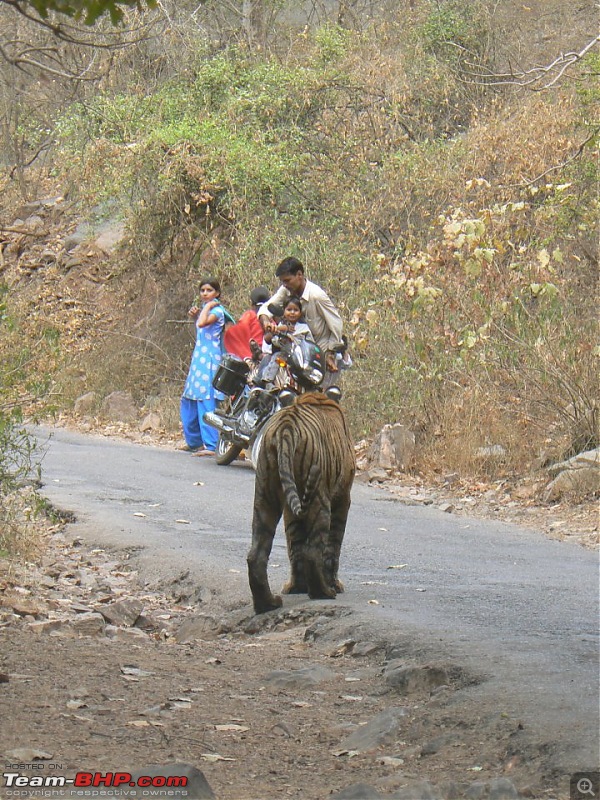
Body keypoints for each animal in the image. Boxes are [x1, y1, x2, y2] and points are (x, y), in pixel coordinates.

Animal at [247, 390, 356, 616]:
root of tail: (286, 426)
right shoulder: (343, 498)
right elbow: (333, 545)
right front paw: (334, 585)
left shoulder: (290, 508)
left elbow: (294, 545)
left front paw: (296, 588)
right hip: (319, 498)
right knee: (314, 550)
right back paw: (323, 592)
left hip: (265, 494)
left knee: (257, 554)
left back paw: (267, 604)